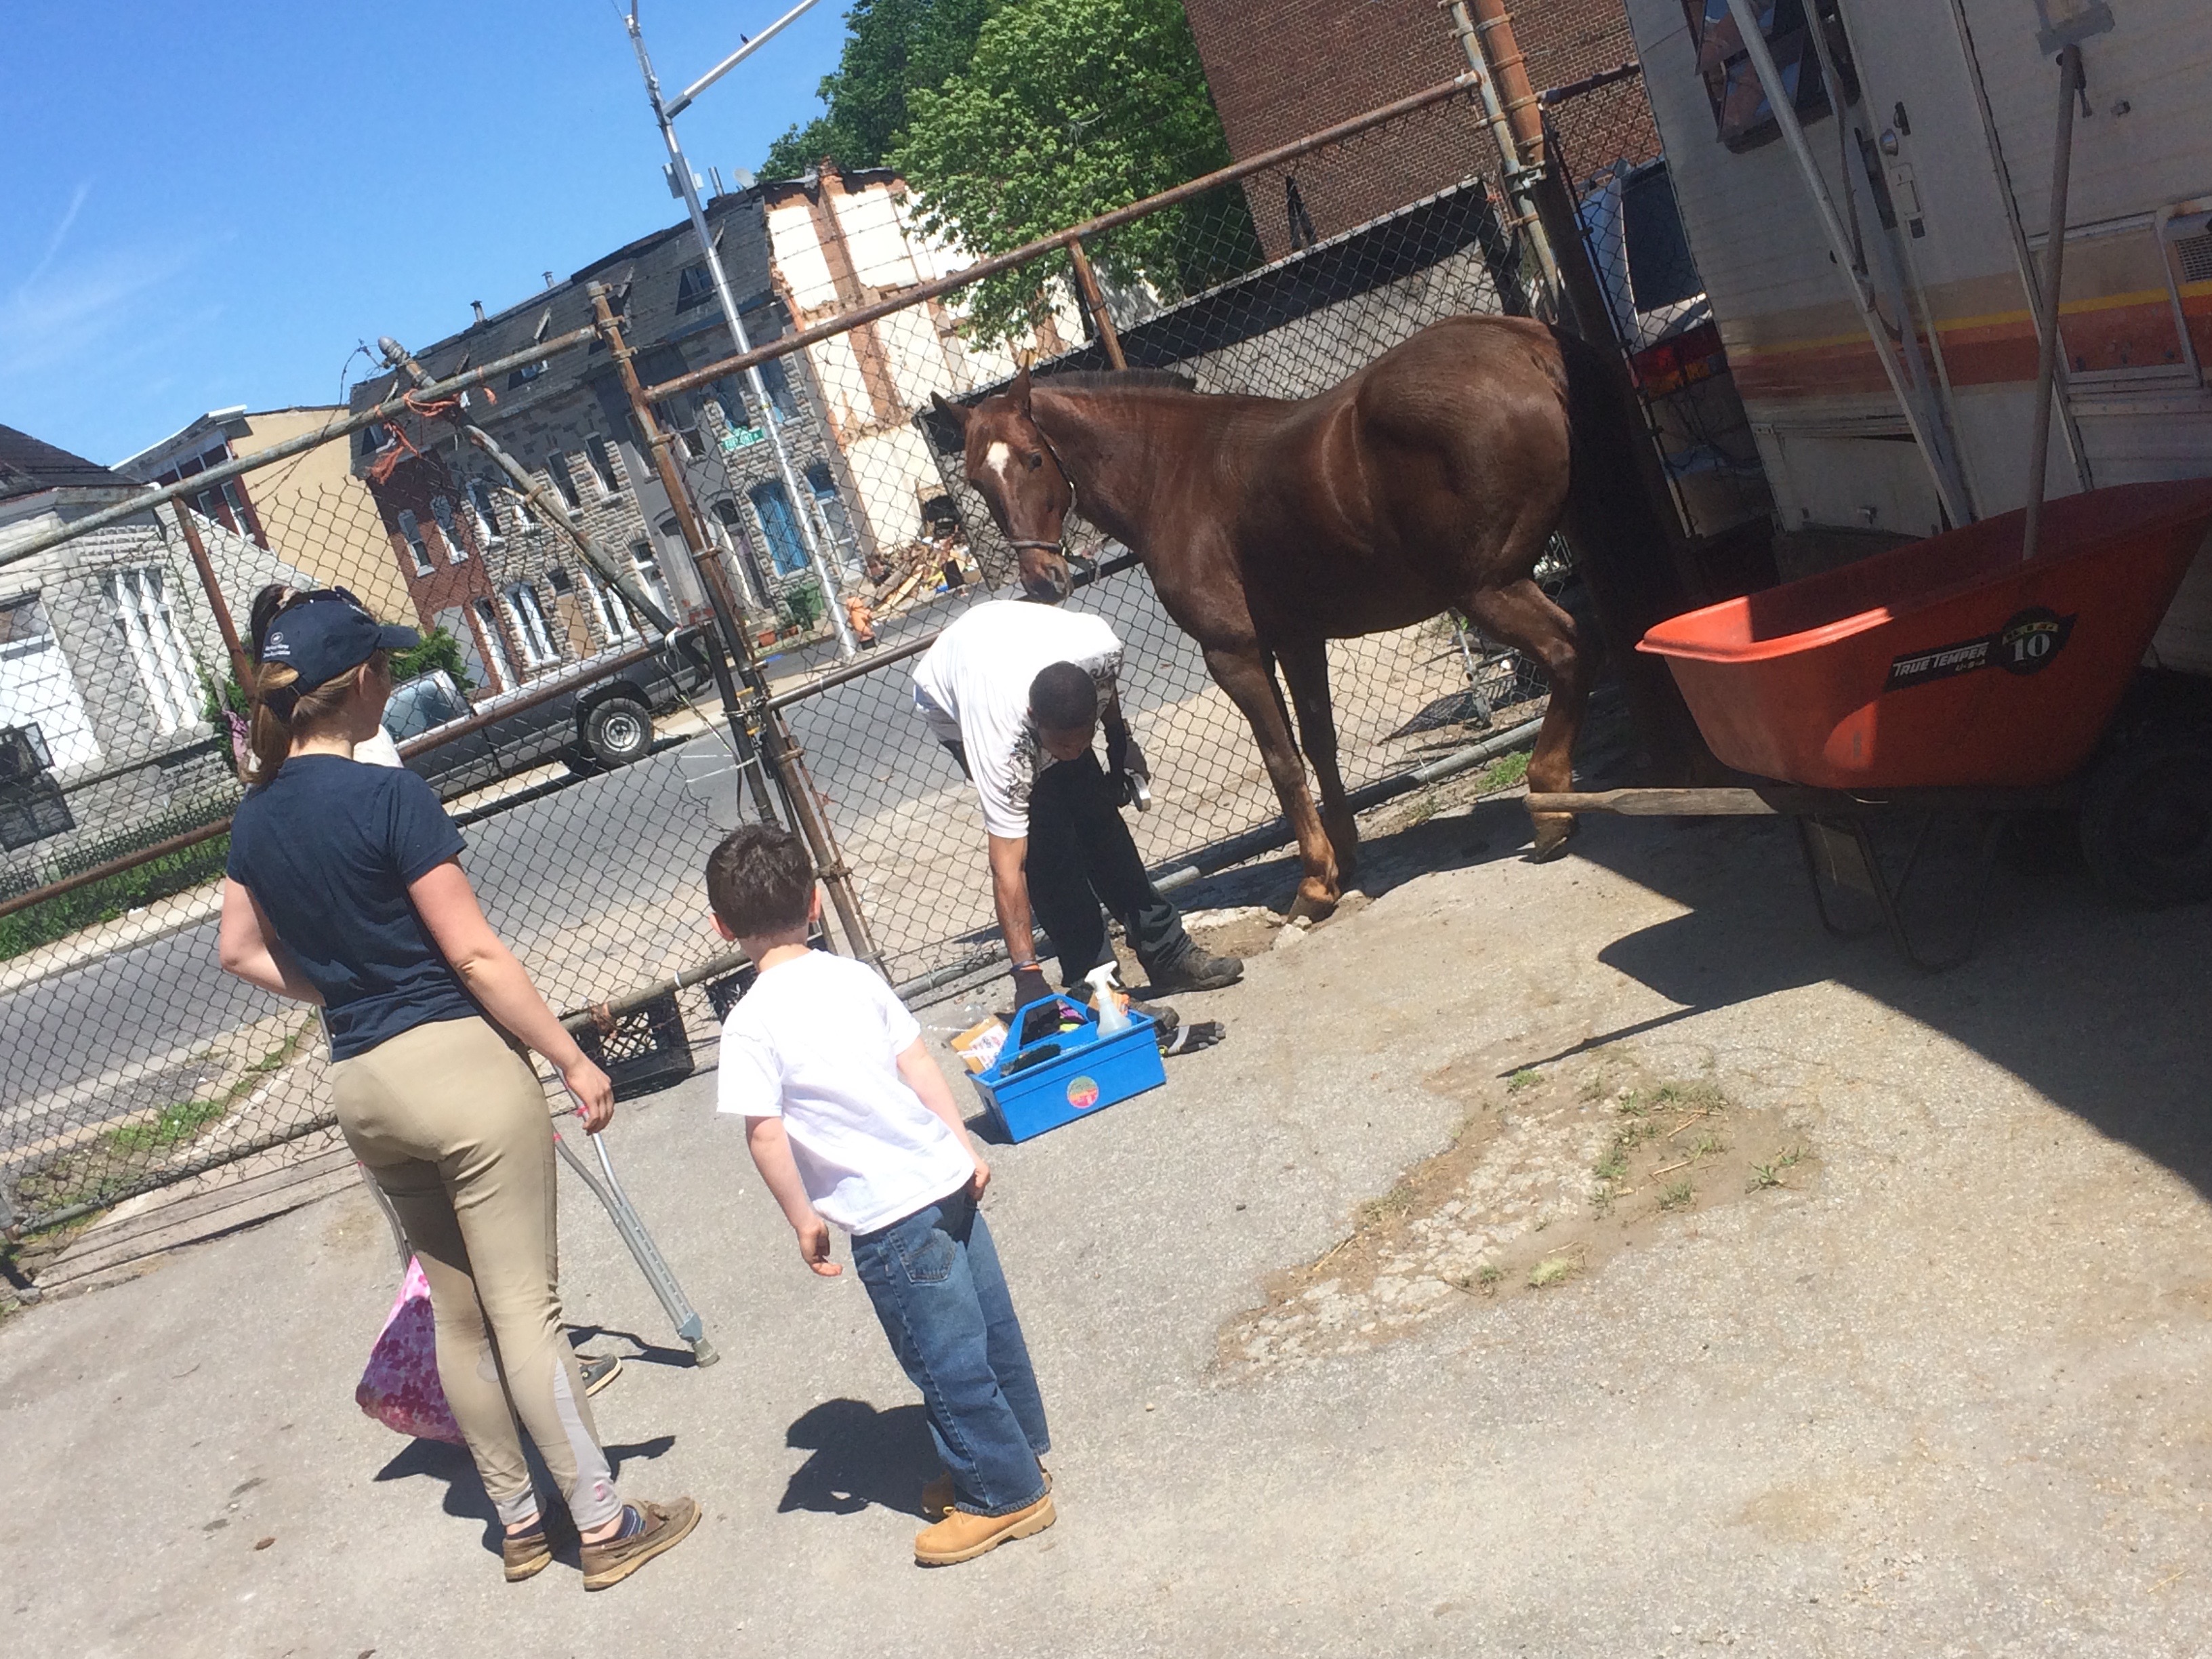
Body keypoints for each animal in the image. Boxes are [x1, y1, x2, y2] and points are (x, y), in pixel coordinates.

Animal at [931, 313, 1669, 921]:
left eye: (1034, 458)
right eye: (976, 480)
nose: (1041, 581)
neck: (1175, 473)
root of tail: (1522, 344)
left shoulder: (1235, 653)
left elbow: (1282, 762)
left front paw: (1315, 883)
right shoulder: (1299, 638)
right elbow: (1320, 743)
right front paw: (1345, 855)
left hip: (1488, 588)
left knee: (1571, 651)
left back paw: (1550, 805)